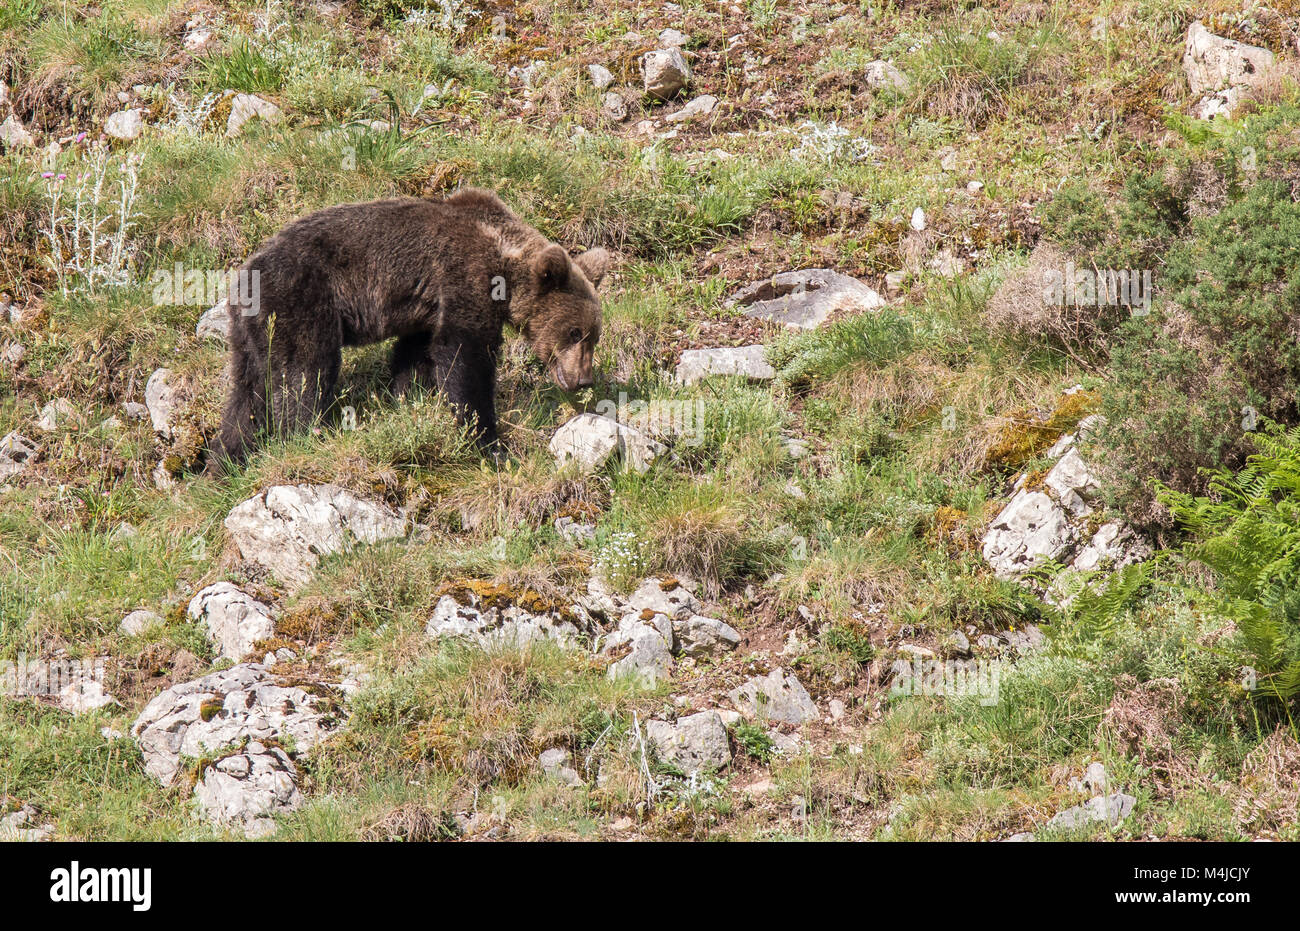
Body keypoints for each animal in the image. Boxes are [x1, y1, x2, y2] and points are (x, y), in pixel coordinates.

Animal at [211, 188, 608, 465]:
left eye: (593, 336)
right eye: (574, 333)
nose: (584, 378)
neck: (504, 258)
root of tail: (244, 276)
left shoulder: (426, 309)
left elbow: (415, 358)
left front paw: (409, 400)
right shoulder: (464, 278)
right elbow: (466, 357)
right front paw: (488, 442)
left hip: (249, 331)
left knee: (246, 393)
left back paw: (227, 459)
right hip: (299, 301)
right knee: (305, 371)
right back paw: (304, 434)